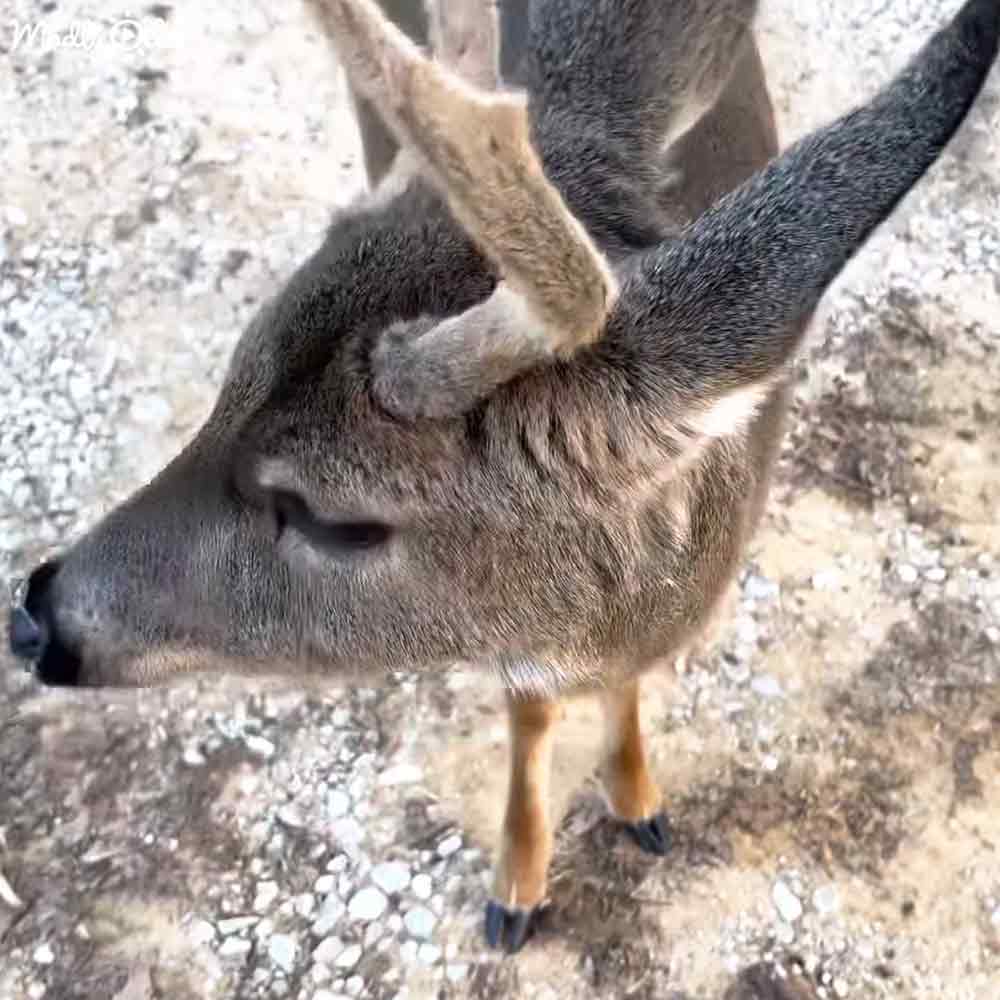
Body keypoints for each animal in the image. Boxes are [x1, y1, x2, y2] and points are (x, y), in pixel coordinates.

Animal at [7, 0, 999, 955]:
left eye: (336, 519)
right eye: (227, 384)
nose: (36, 615)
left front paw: (637, 800)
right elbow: (530, 719)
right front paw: (517, 888)